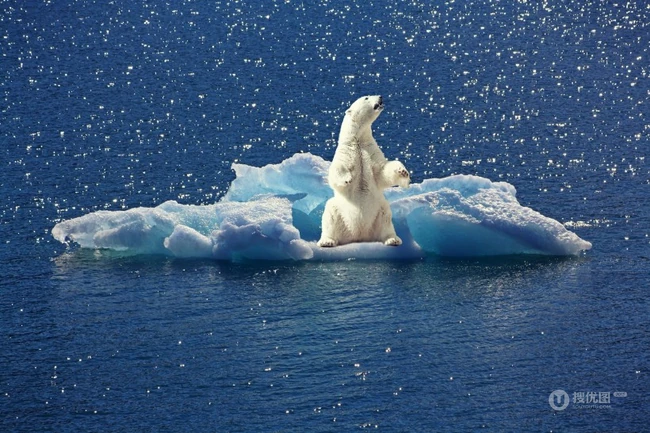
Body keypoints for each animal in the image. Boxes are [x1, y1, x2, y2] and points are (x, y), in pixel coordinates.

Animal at [317, 95, 410, 248]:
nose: (380, 96)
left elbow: (382, 171)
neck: (358, 140)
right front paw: (347, 178)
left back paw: (393, 239)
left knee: (386, 218)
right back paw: (327, 241)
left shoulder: (370, 150)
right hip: (339, 211)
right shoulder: (346, 152)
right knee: (330, 214)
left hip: (379, 210)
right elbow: (337, 169)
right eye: (366, 97)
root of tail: (359, 235)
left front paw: (403, 172)